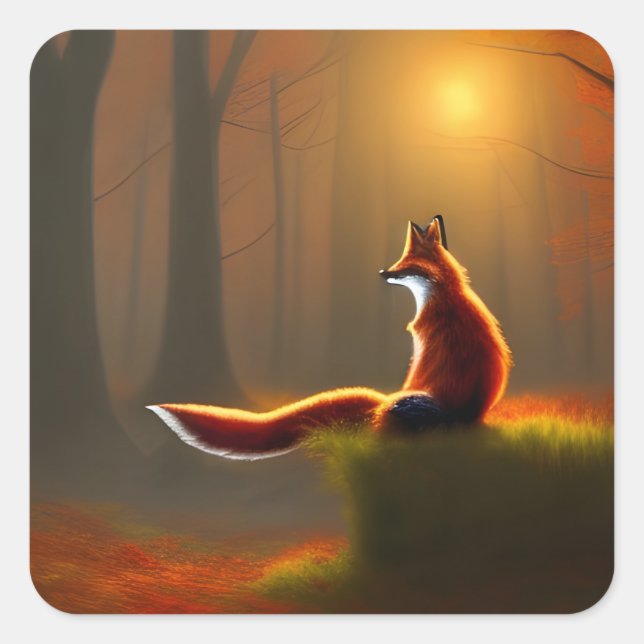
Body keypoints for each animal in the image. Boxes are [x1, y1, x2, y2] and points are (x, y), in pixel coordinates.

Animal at [147, 216, 512, 460]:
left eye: (406, 263)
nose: (383, 273)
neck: (445, 294)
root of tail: (467, 418)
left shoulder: (423, 348)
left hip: (407, 405)